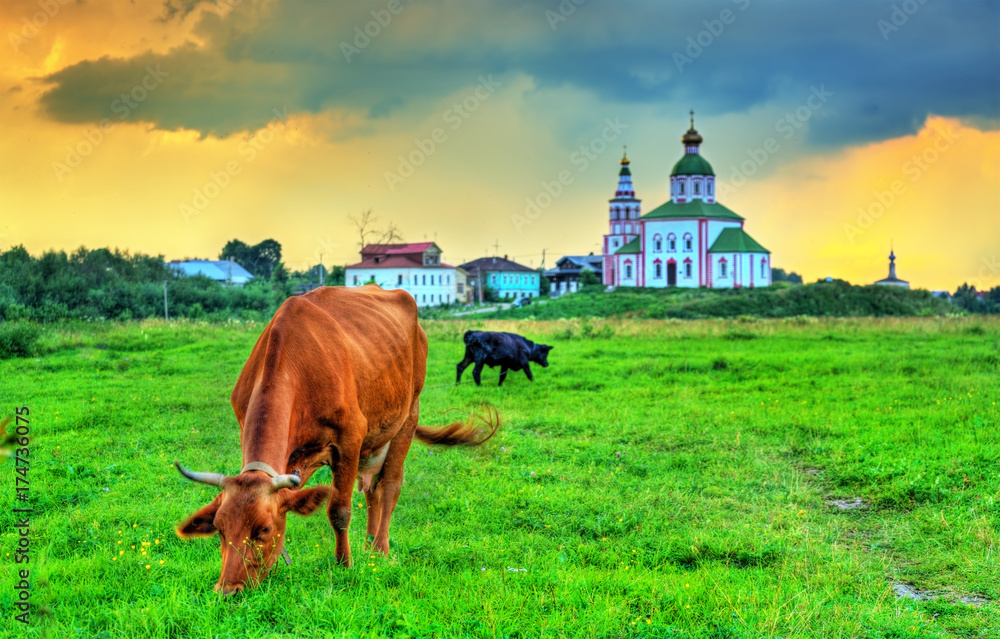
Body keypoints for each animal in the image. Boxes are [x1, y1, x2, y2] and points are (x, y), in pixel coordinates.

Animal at [177, 286, 500, 596]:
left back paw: (380, 549)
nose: (228, 591)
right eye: (219, 529)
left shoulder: (350, 439)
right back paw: (369, 544)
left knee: (389, 486)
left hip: (407, 416)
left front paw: (345, 563)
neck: (292, 366)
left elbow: (339, 510)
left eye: (264, 530)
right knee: (372, 491)